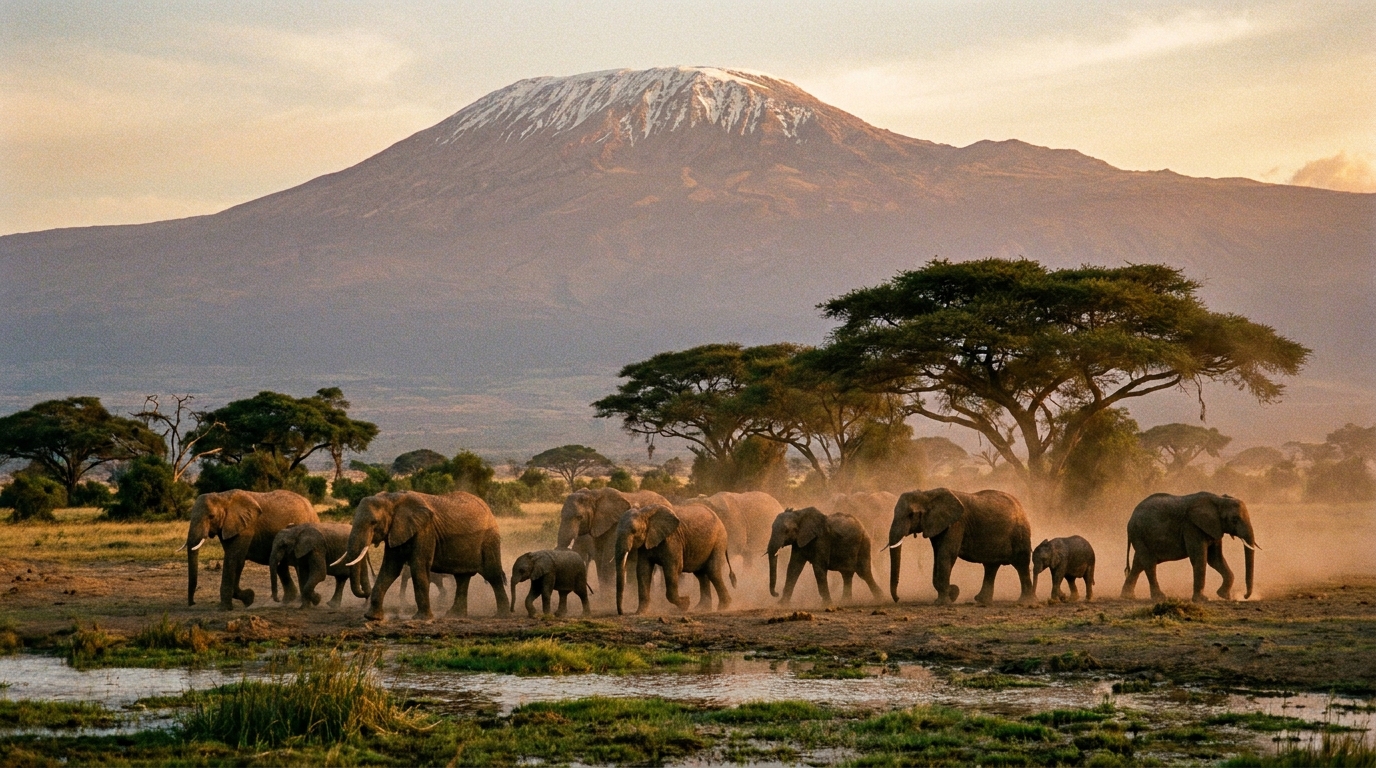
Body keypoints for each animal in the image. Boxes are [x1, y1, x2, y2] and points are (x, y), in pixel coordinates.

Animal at [183, 489, 318, 610]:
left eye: (211, 516)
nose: (193, 603)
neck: (222, 496)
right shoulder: (228, 528)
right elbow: (238, 561)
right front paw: (249, 599)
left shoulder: (246, 528)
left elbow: (233, 559)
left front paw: (224, 608)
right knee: (281, 566)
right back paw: (287, 601)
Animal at [334, 491, 510, 620]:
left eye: (373, 523)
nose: (365, 594)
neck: (392, 498)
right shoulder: (396, 530)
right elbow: (390, 569)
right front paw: (372, 618)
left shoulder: (425, 530)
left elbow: (418, 567)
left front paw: (422, 619)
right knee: (462, 577)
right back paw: (454, 615)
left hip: (490, 537)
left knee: (492, 574)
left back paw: (501, 615)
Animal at [887, 488, 1035, 606]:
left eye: (910, 515)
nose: (898, 599)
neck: (928, 494)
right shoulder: (937, 525)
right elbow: (938, 554)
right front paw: (951, 594)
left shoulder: (956, 524)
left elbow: (946, 554)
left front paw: (943, 602)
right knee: (991, 566)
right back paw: (982, 601)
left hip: (1020, 531)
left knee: (1021, 563)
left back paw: (1025, 602)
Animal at [1121, 492, 1259, 603]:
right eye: (1235, 519)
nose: (1245, 596)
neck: (1218, 499)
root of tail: (1131, 517)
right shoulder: (1192, 527)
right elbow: (1200, 559)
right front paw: (1203, 600)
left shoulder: (1214, 528)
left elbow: (1215, 559)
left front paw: (1224, 596)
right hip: (1139, 534)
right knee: (1149, 564)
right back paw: (1160, 598)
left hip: (1141, 536)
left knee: (1139, 564)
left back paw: (1128, 597)